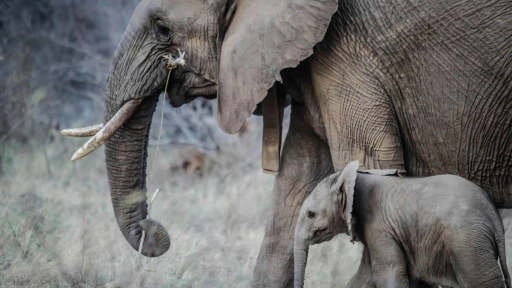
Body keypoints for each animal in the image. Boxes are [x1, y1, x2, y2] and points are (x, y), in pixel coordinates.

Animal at [294, 161, 510, 288]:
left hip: (468, 244)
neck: (354, 177)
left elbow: (390, 274)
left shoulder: (380, 226)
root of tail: (494, 218)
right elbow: (364, 276)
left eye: (311, 214)